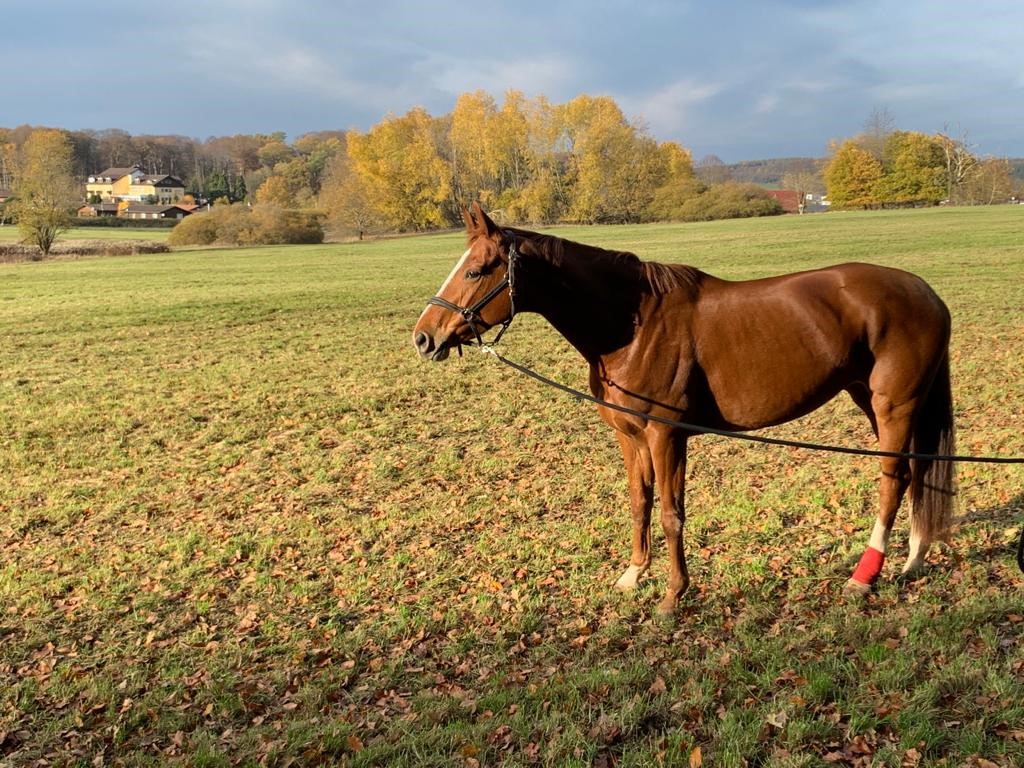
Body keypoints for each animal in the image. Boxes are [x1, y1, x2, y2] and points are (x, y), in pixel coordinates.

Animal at [411, 204, 954, 614]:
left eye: (475, 270)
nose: (424, 338)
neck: (632, 324)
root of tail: (926, 292)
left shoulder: (666, 434)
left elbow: (672, 513)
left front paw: (674, 595)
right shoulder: (630, 436)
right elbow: (640, 502)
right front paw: (633, 575)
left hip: (894, 405)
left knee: (894, 479)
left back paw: (866, 575)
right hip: (871, 399)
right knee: (918, 474)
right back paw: (913, 560)